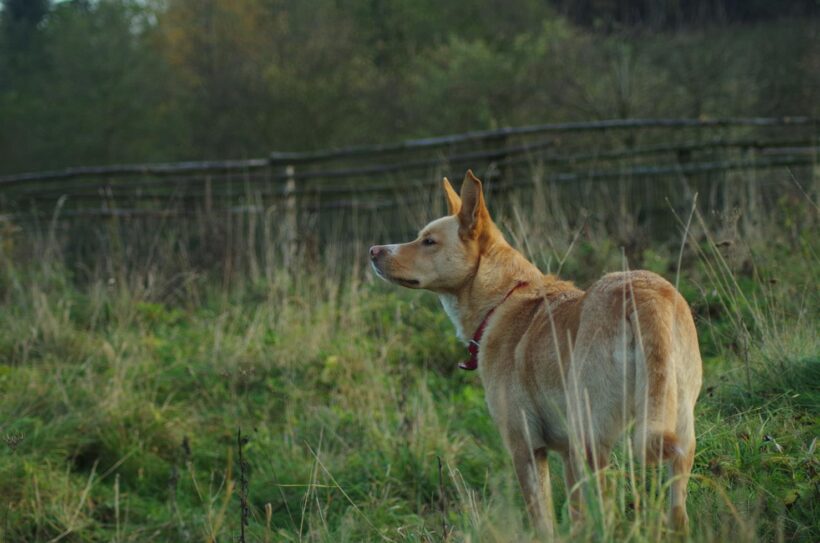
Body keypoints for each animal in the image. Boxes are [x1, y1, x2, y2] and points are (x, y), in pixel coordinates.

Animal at [368, 171, 700, 536]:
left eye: (428, 241)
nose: (373, 250)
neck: (504, 297)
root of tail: (643, 294)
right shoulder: (565, 454)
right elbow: (573, 513)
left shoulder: (526, 449)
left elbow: (543, 521)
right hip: (677, 435)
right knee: (677, 512)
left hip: (590, 442)